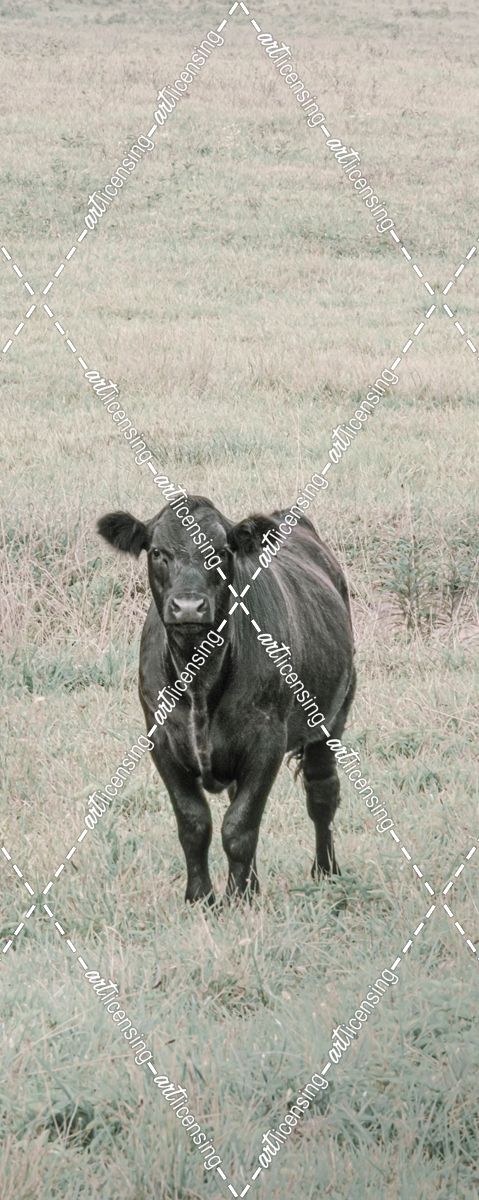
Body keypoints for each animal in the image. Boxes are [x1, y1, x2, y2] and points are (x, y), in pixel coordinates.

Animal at [97, 496, 356, 904]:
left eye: (220, 552)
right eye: (157, 552)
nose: (189, 606)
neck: (200, 682)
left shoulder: (266, 741)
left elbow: (239, 825)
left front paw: (239, 899)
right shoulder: (161, 741)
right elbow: (194, 823)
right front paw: (200, 897)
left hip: (331, 718)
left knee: (322, 794)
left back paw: (327, 872)